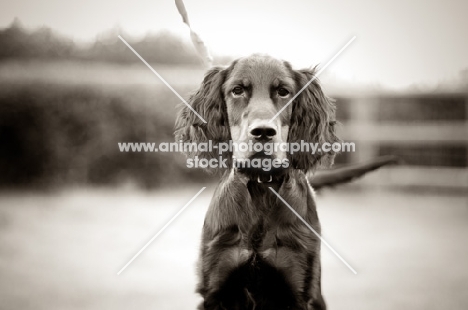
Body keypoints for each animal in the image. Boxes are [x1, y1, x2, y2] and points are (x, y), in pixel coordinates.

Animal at [176, 55, 394, 310]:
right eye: (237, 90)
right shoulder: (217, 287)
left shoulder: (297, 286)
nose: (262, 132)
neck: (262, 187)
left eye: (283, 91)